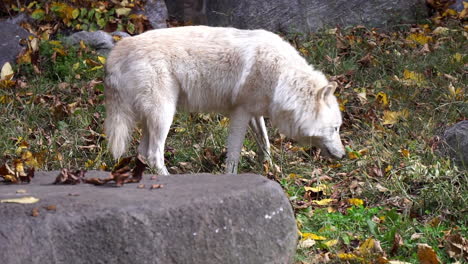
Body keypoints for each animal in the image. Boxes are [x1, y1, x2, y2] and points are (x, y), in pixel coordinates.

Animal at [107, 25, 348, 175]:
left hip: (150, 121)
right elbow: (234, 154)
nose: (344, 156)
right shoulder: (240, 113)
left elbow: (265, 143)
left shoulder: (255, 112)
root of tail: (118, 49)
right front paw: (231, 176)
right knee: (154, 155)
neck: (282, 76)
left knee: (142, 154)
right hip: (164, 116)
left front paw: (270, 169)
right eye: (335, 128)